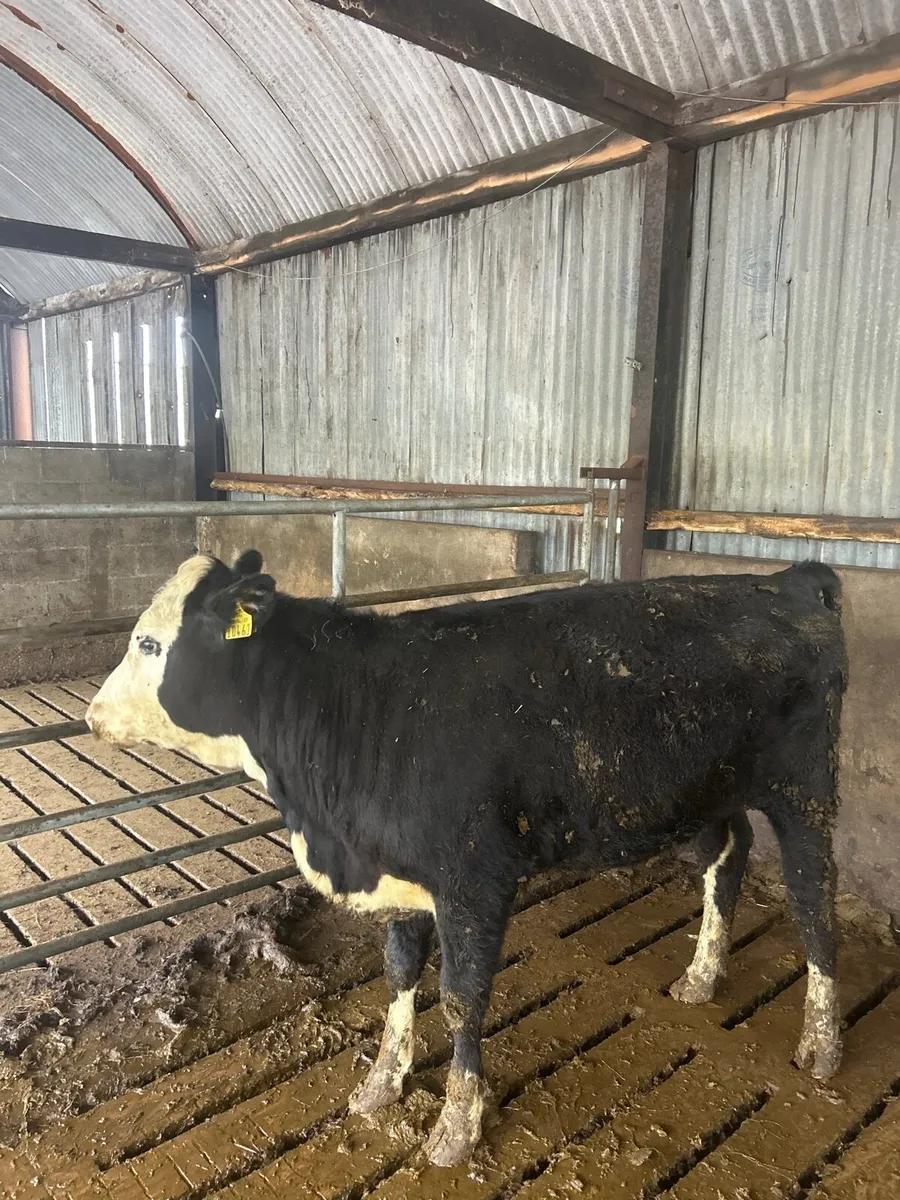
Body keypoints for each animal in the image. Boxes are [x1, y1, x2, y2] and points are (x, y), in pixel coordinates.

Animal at [86, 552, 847, 1167]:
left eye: (149, 642)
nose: (92, 716)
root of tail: (787, 579)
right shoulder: (398, 872)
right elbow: (398, 974)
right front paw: (380, 1082)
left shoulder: (475, 881)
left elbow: (460, 998)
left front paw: (457, 1124)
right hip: (706, 791)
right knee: (727, 856)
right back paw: (703, 974)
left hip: (803, 791)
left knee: (814, 900)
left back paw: (823, 1041)